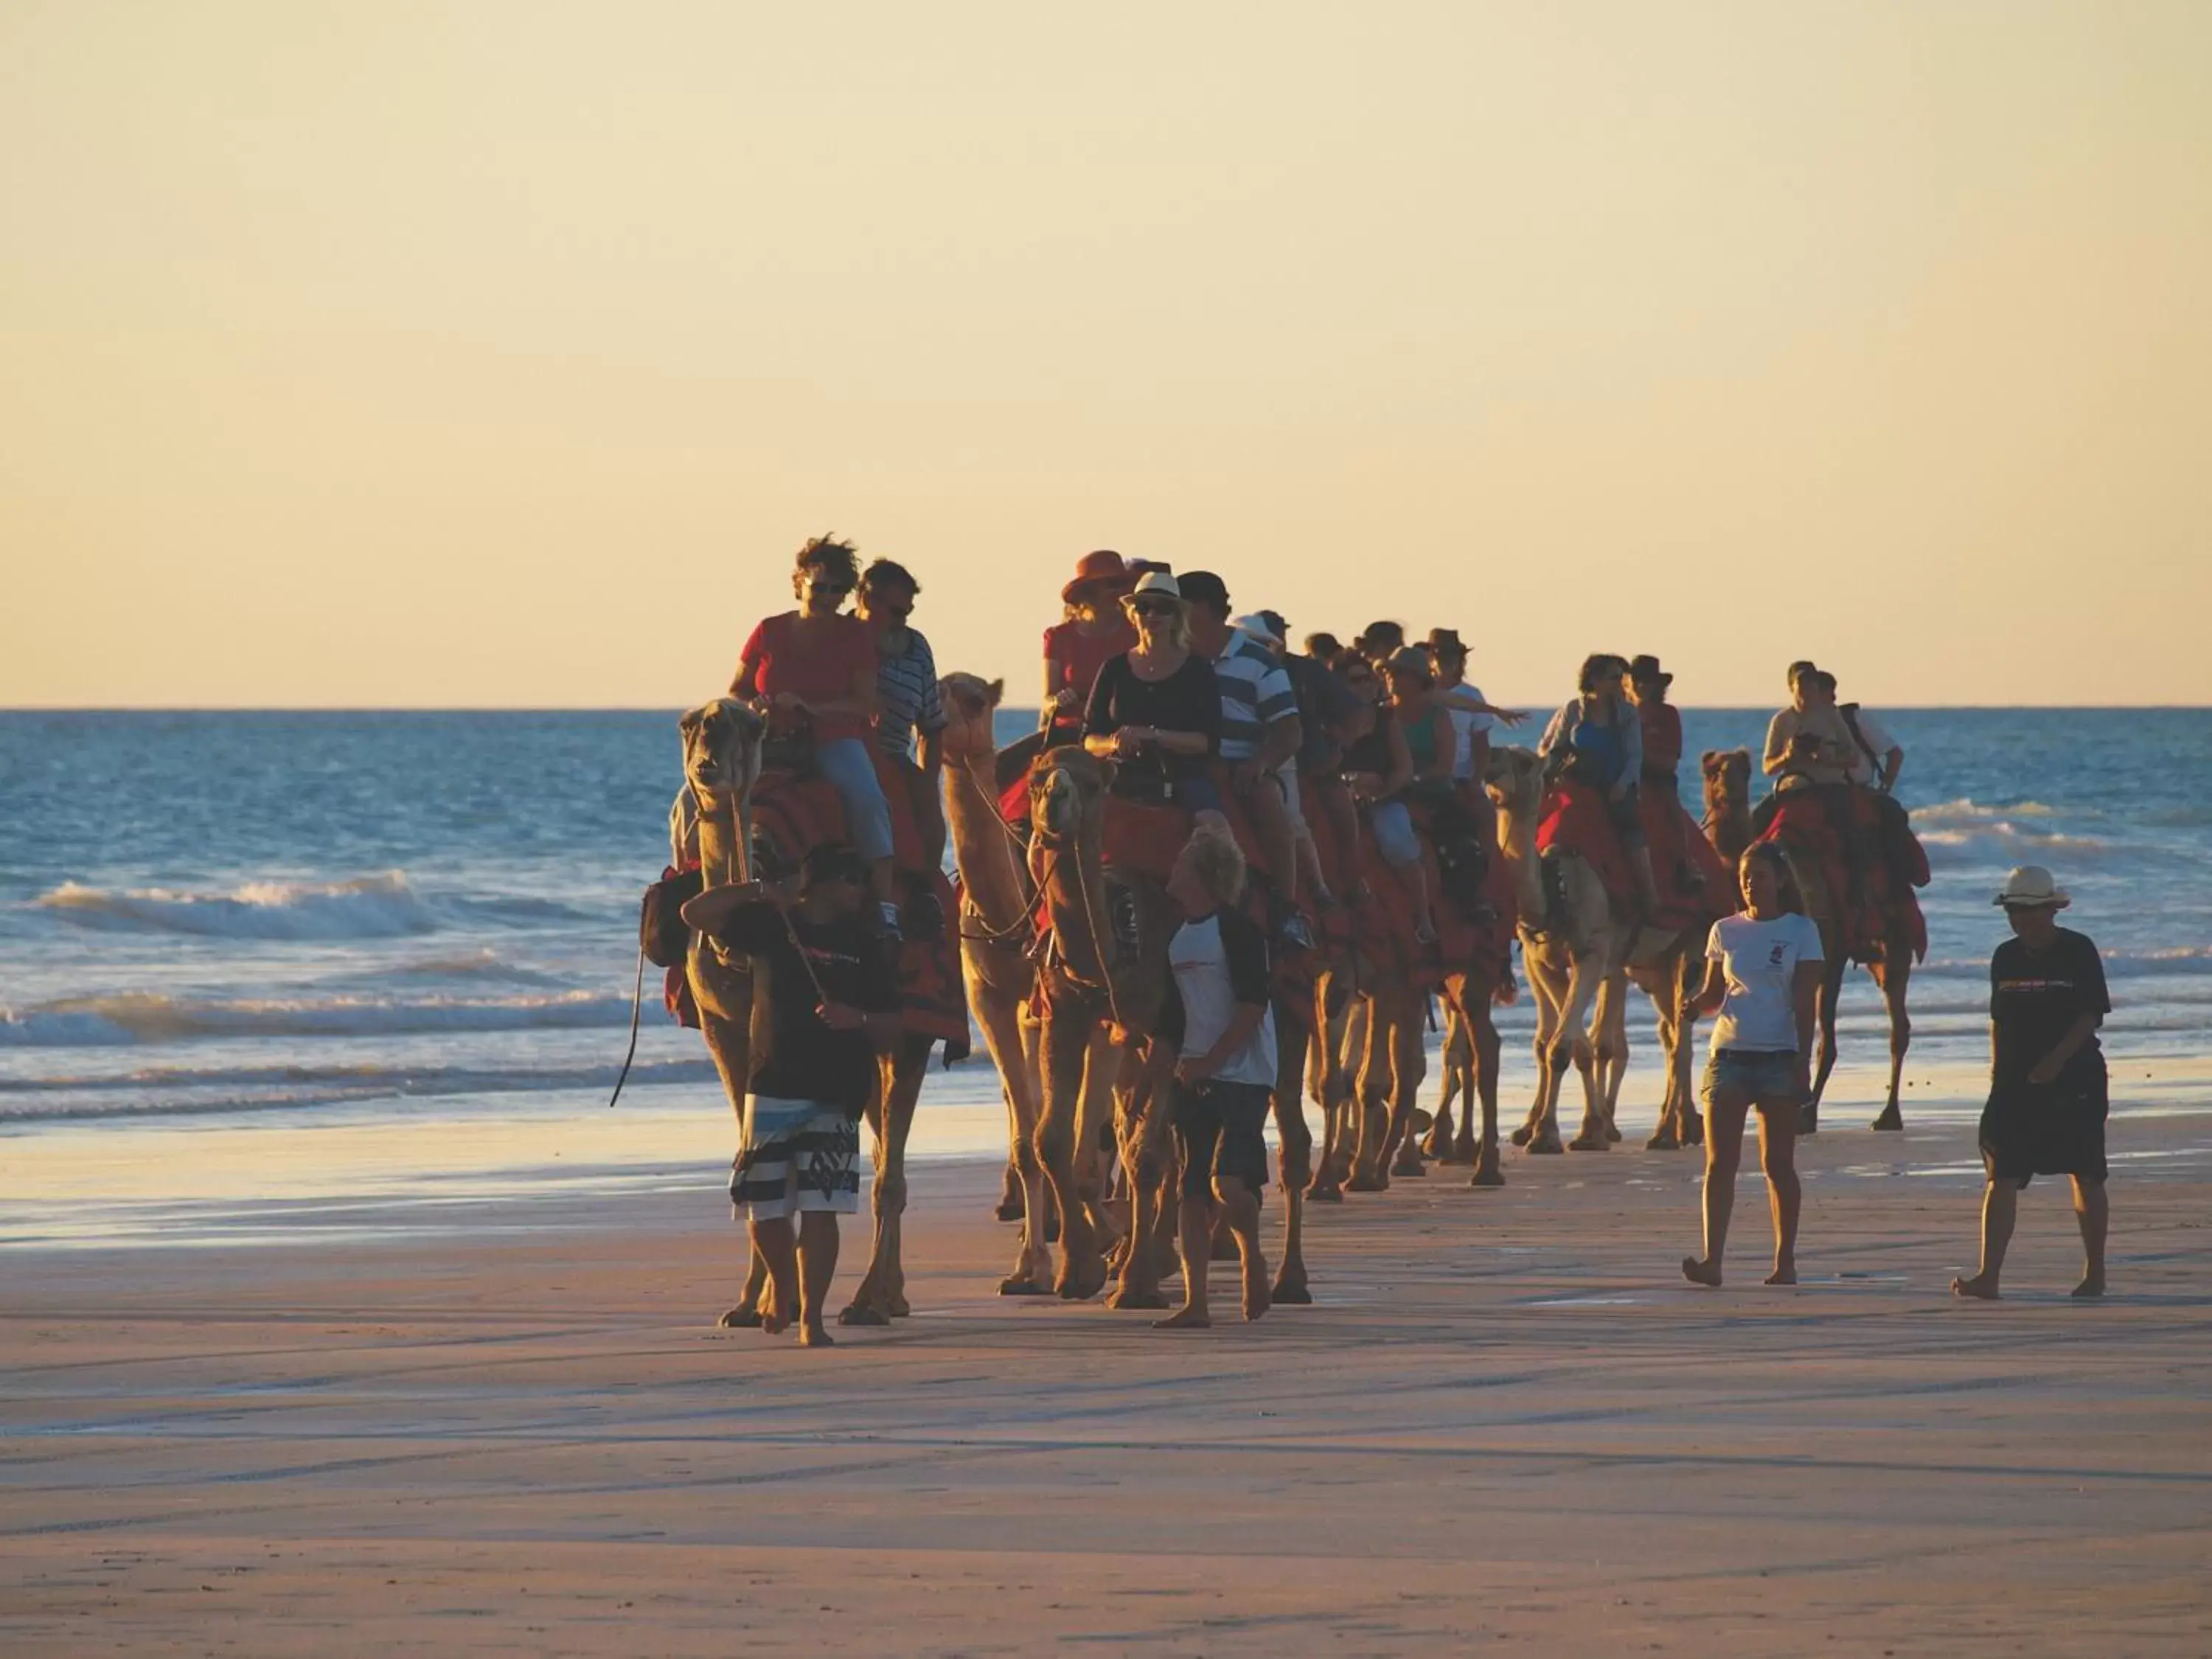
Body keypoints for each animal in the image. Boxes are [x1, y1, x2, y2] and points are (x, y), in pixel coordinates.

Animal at [681, 695, 942, 1336]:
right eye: (689, 725)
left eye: (746, 727)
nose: (708, 763)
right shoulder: (723, 1029)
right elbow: (748, 1150)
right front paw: (752, 1304)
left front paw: (787, 1302)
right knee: (882, 1153)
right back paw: (891, 1295)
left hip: (910, 1036)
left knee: (890, 1171)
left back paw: (872, 1300)